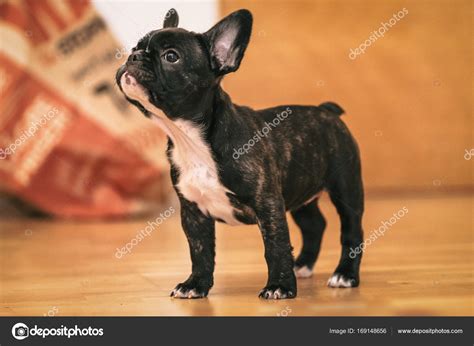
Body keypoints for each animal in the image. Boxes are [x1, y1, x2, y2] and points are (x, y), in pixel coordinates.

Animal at [116, 8, 364, 300]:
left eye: (171, 56)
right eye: (136, 46)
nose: (133, 56)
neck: (191, 139)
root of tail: (327, 110)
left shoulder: (268, 204)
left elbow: (276, 246)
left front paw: (279, 286)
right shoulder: (193, 213)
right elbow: (199, 251)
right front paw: (195, 284)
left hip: (346, 189)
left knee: (351, 231)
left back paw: (345, 275)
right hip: (299, 192)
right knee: (314, 224)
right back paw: (302, 264)